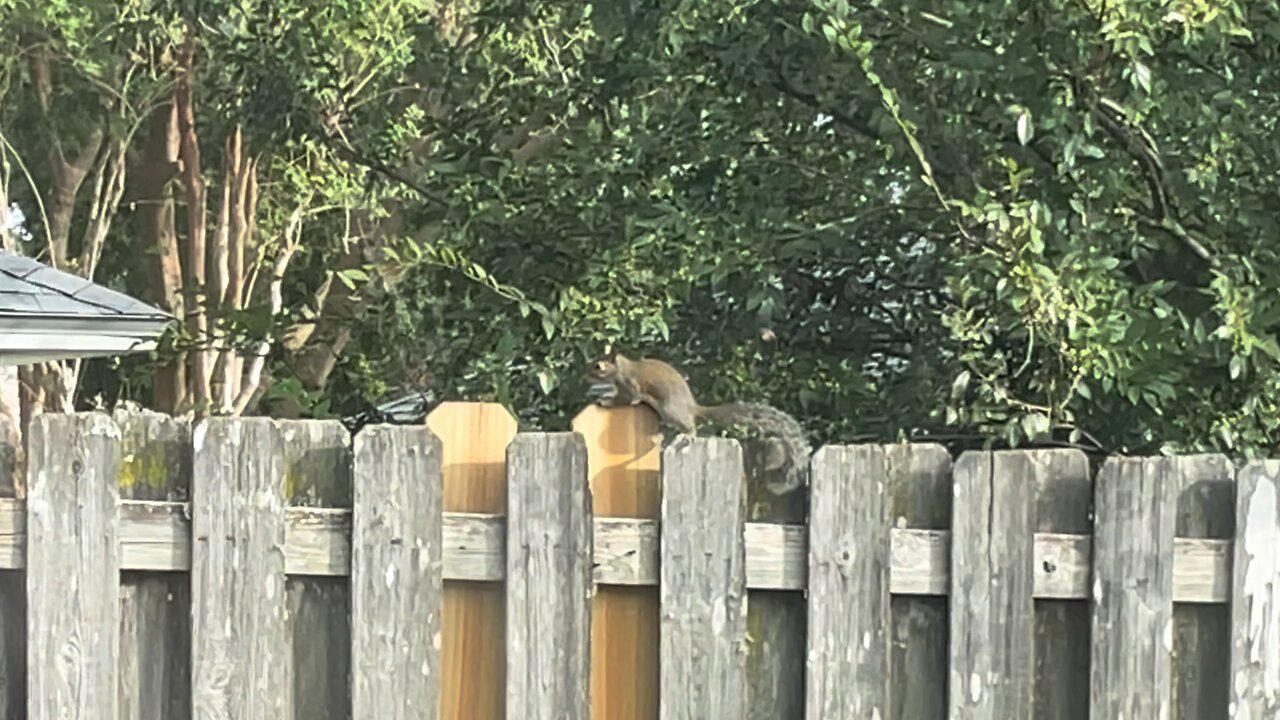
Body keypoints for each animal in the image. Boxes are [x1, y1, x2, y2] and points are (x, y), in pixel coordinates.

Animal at [583, 348, 808, 491]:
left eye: (599, 366)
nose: (585, 375)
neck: (622, 369)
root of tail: (691, 408)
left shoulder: (630, 387)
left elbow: (626, 399)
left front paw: (605, 401)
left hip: (670, 409)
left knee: (690, 426)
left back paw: (688, 435)